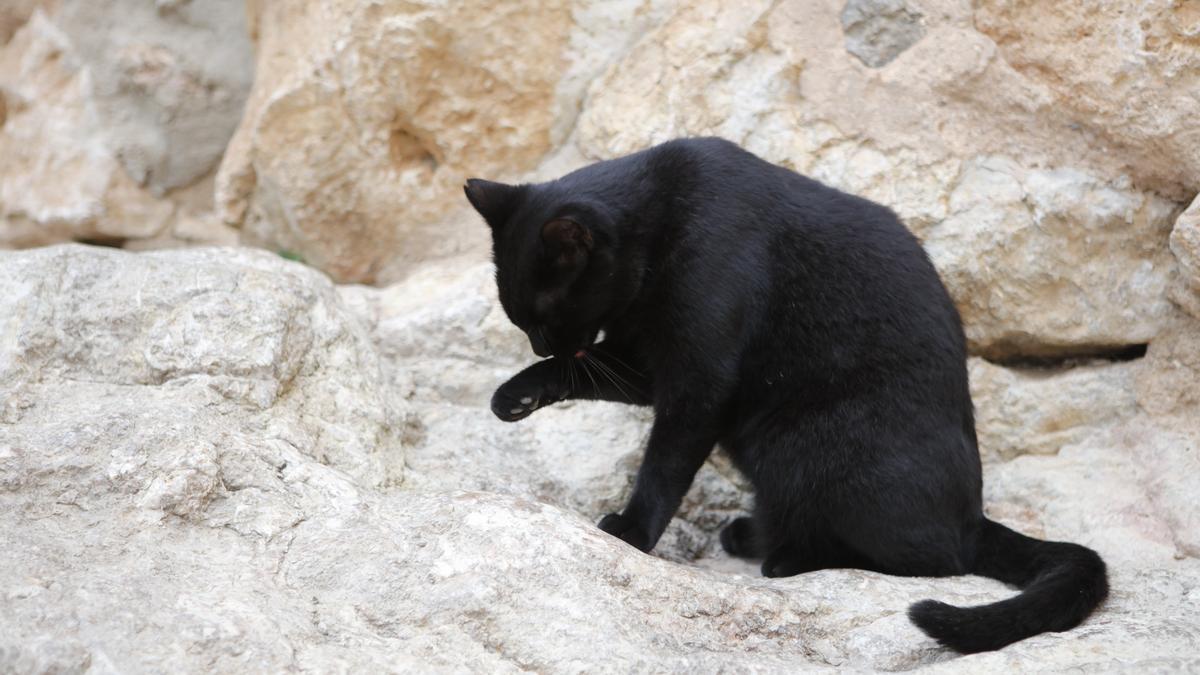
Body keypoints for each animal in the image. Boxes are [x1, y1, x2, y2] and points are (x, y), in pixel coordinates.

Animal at [463, 135, 1108, 653]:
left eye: (544, 314)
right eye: (521, 319)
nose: (540, 343)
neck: (663, 218)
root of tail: (973, 517)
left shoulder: (699, 379)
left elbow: (664, 465)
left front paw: (633, 533)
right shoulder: (645, 364)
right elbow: (583, 373)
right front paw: (515, 395)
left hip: (805, 448)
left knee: (929, 558)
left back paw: (789, 558)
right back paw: (753, 534)